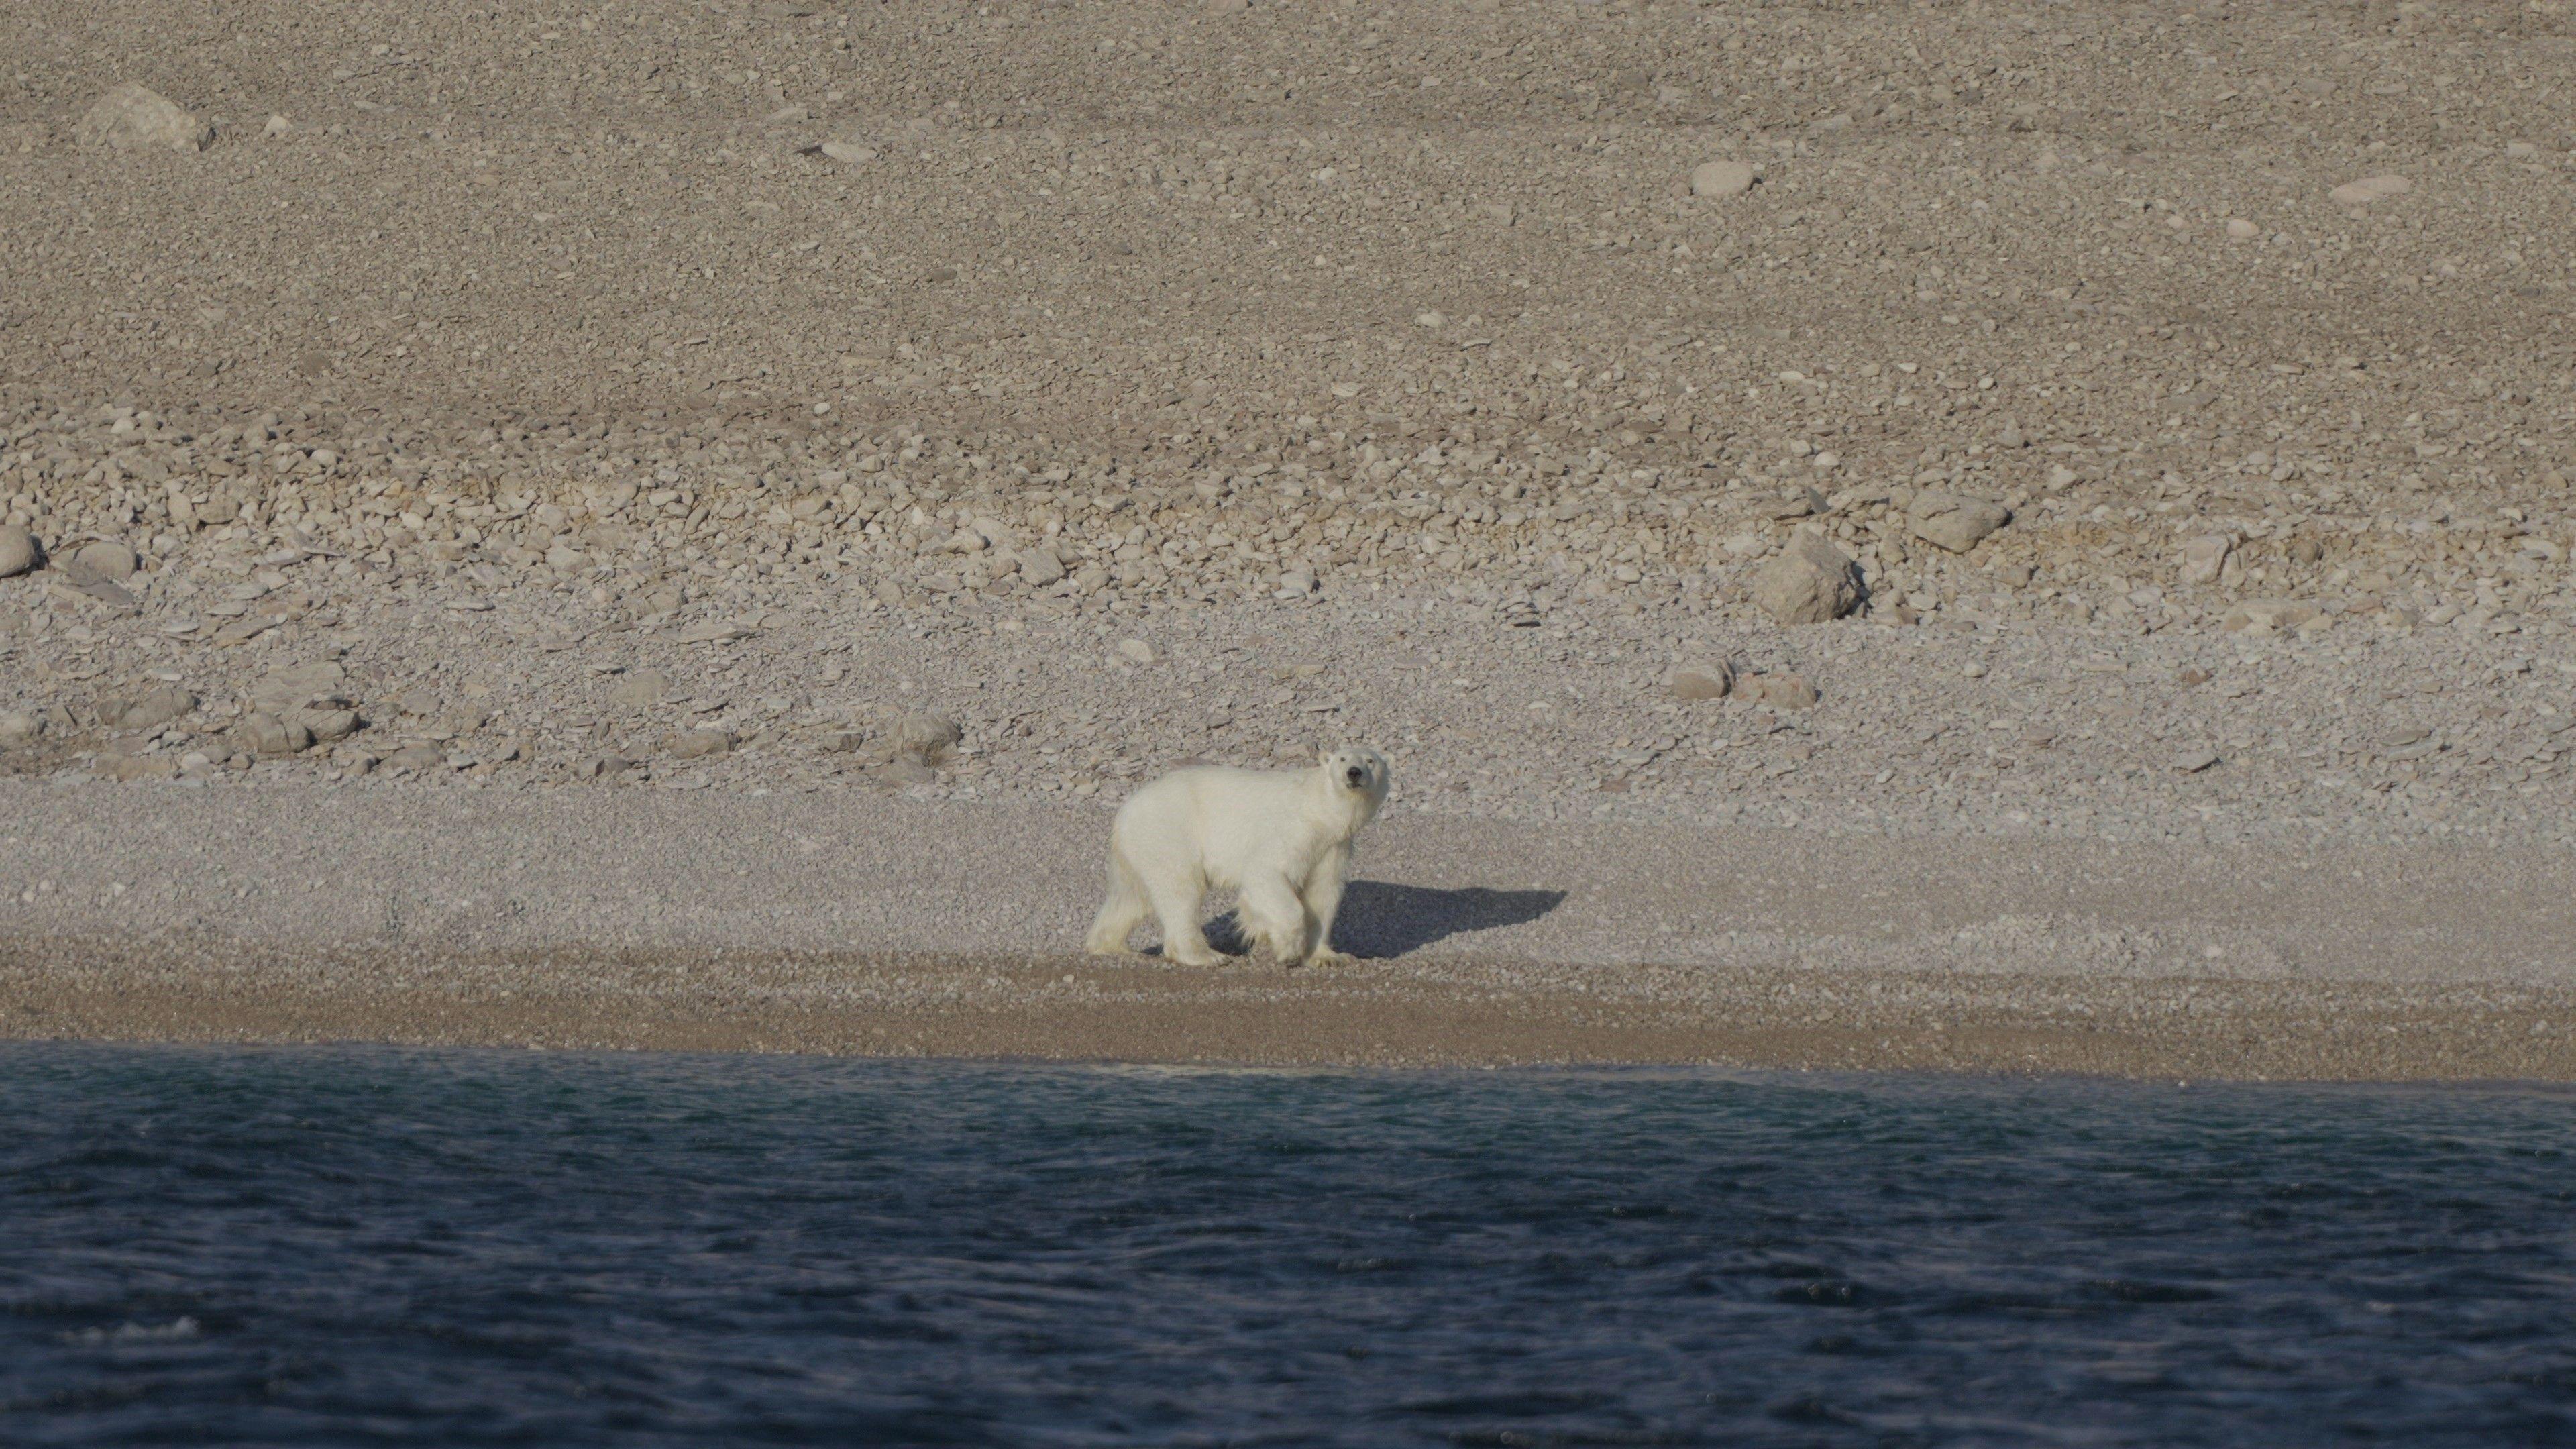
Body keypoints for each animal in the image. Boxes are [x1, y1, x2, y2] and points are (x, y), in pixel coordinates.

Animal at [1097, 747, 1401, 964]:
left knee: (1131, 898)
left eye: (1371, 760)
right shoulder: (1293, 830)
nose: (1354, 773)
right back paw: (1205, 956)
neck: (1320, 810)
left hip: (1141, 846)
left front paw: (1327, 957)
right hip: (1170, 832)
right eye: (1342, 758)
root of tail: (1125, 812)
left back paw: (1111, 946)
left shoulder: (1333, 846)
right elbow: (1266, 873)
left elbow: (1323, 892)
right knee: (1180, 890)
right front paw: (1287, 949)